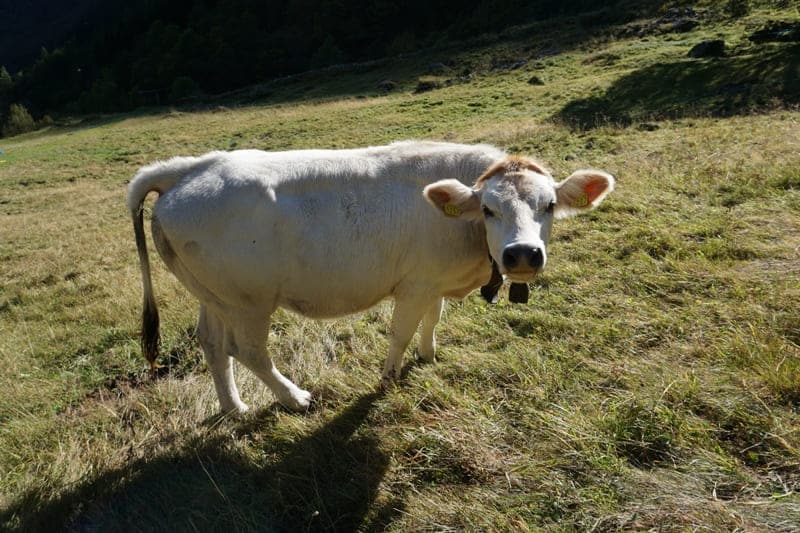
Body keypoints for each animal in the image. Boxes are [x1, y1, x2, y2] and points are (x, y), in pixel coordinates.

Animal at [128, 140, 612, 412]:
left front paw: (428, 355)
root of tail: (191, 167)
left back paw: (234, 408)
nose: (523, 254)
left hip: (213, 295)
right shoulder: (415, 285)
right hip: (248, 301)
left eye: (550, 205)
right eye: (490, 209)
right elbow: (400, 332)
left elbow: (432, 320)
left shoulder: (431, 280)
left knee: (211, 343)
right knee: (247, 350)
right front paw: (389, 378)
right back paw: (295, 398)